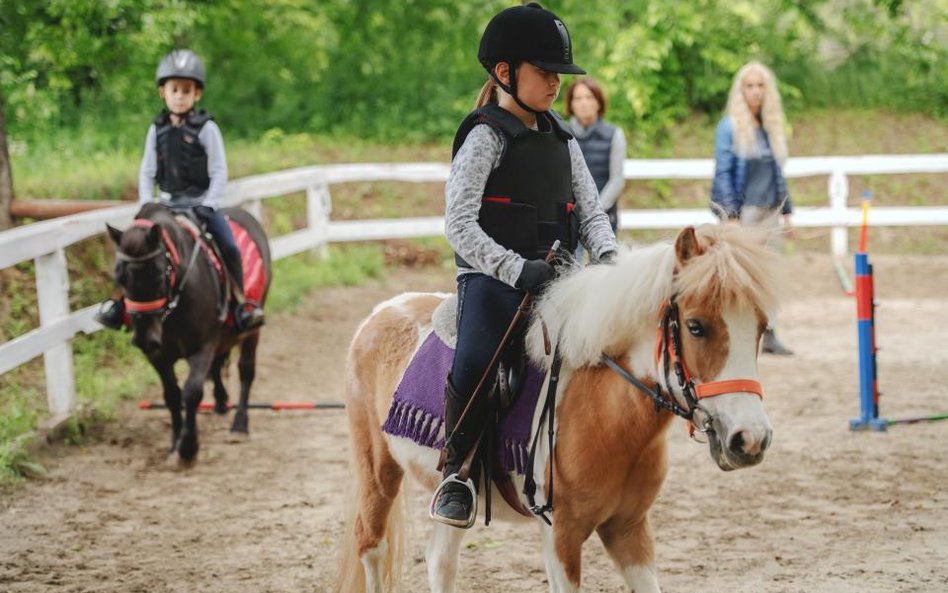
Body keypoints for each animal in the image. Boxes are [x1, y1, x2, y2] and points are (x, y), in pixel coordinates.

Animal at [106, 204, 272, 462]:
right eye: (119, 276)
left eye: (157, 275)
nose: (144, 338)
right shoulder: (157, 356)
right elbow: (172, 396)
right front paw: (175, 443)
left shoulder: (201, 346)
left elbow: (192, 392)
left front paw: (188, 448)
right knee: (217, 365)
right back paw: (221, 402)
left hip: (251, 330)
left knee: (246, 371)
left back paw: (239, 426)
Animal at [336, 224, 780, 588]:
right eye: (696, 327)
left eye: (761, 328)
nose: (750, 440)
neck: (605, 412)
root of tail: (383, 311)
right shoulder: (561, 535)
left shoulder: (630, 530)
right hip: (378, 470)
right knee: (370, 547)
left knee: (440, 562)